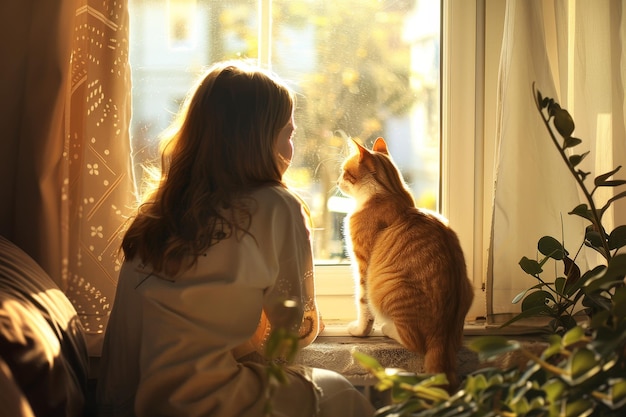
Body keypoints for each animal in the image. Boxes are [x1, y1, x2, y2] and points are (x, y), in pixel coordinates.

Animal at [336, 137, 472, 390]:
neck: (389, 193)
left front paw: (360, 331)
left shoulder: (362, 265)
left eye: (344, 172)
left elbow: (362, 302)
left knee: (413, 341)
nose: (336, 181)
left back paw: (389, 329)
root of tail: (443, 337)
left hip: (390, 288)